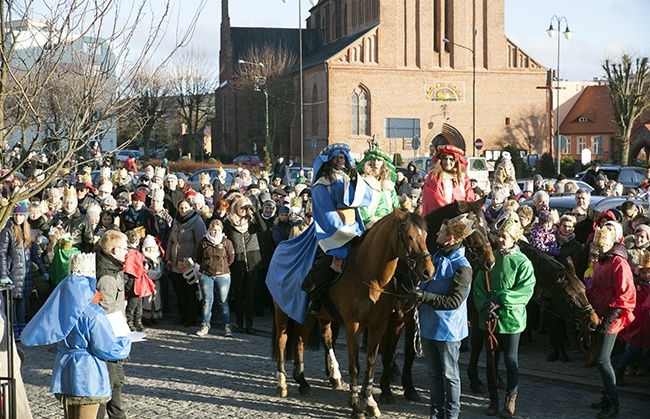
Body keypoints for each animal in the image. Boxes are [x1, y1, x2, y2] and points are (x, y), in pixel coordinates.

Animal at [378, 199, 494, 404]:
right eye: (472, 230)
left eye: (486, 226)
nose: (490, 261)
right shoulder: (395, 316)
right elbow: (390, 351)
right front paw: (385, 390)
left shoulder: (411, 315)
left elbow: (409, 352)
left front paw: (409, 388)